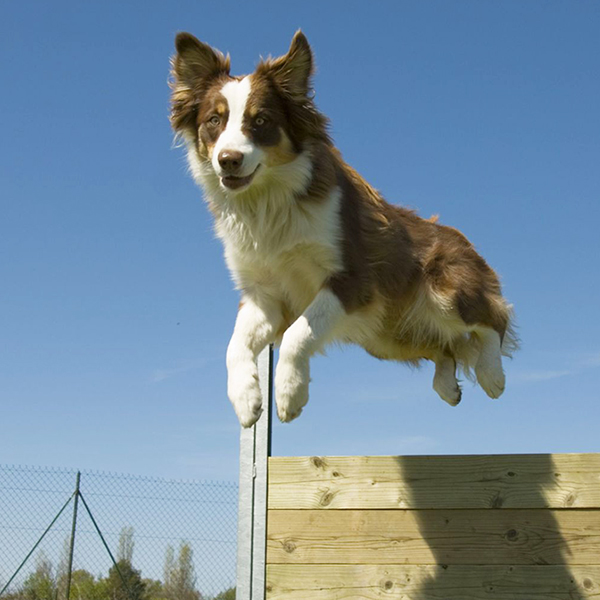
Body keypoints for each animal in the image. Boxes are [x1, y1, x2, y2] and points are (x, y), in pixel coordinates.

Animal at [169, 31, 516, 426]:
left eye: (260, 121)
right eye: (214, 120)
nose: (228, 160)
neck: (268, 201)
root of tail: (462, 238)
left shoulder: (353, 279)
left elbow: (296, 334)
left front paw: (289, 394)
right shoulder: (262, 293)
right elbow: (234, 345)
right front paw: (245, 399)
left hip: (447, 292)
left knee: (493, 319)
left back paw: (492, 375)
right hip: (385, 336)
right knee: (444, 348)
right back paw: (447, 386)